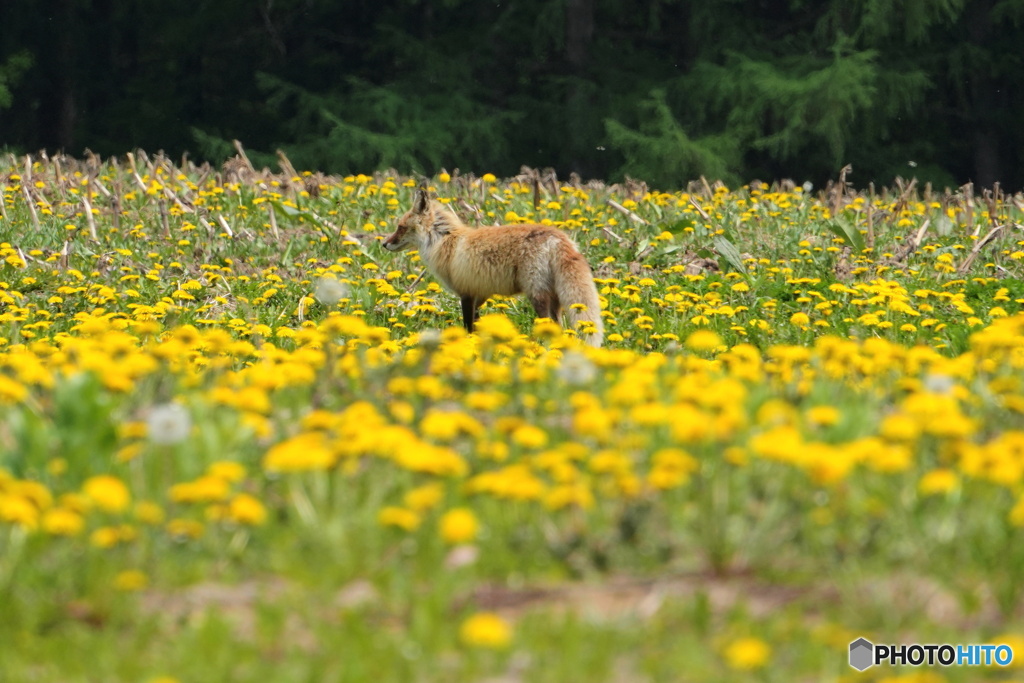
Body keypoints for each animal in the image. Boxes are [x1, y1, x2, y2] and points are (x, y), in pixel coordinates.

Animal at [385, 188, 606, 344]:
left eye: (400, 227)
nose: (384, 244)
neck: (445, 241)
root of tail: (559, 237)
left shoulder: (466, 292)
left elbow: (468, 326)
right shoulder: (480, 294)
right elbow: (476, 324)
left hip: (537, 295)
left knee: (550, 324)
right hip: (555, 298)